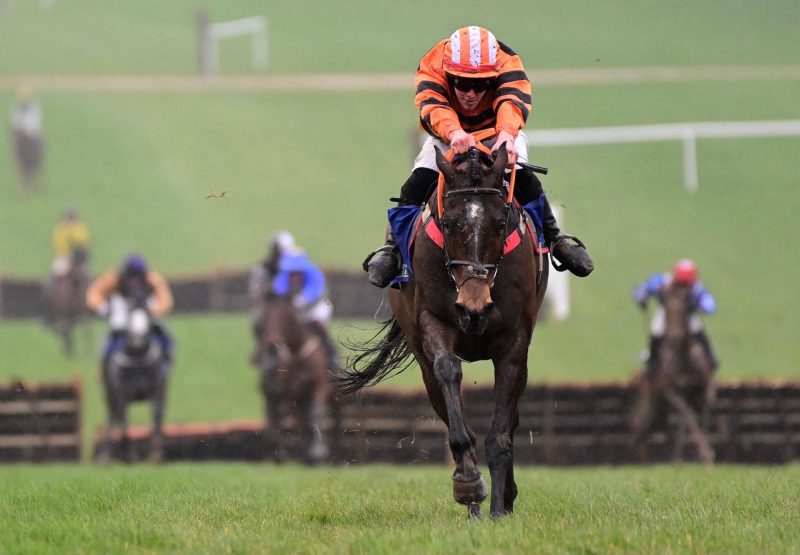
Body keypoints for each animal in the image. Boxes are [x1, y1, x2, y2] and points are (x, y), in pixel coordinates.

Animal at [97, 288, 172, 462]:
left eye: (148, 312)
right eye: (130, 311)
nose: (139, 339)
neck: (138, 358)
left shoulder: (157, 390)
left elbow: (156, 415)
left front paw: (155, 454)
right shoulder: (121, 392)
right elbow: (123, 418)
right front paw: (128, 454)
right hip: (108, 392)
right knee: (113, 415)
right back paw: (107, 454)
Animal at [252, 296, 336, 464]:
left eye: (286, 316)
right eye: (265, 318)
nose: (271, 346)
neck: (296, 352)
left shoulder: (320, 386)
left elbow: (316, 413)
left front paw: (318, 451)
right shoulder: (286, 393)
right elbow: (282, 420)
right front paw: (282, 454)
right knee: (283, 419)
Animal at [334, 146, 548, 520]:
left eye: (500, 222)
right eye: (448, 223)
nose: (474, 306)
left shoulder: (514, 340)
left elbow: (501, 430)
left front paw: (498, 509)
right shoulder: (432, 321)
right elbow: (448, 372)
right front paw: (469, 485)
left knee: (513, 417)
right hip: (421, 353)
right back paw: (474, 503)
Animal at [628, 282, 716, 464]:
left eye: (685, 308)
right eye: (667, 309)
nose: (675, 337)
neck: (683, 357)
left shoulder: (706, 388)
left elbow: (702, 415)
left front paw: (707, 456)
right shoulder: (673, 392)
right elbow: (689, 417)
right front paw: (704, 453)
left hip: (661, 408)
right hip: (651, 399)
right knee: (638, 423)